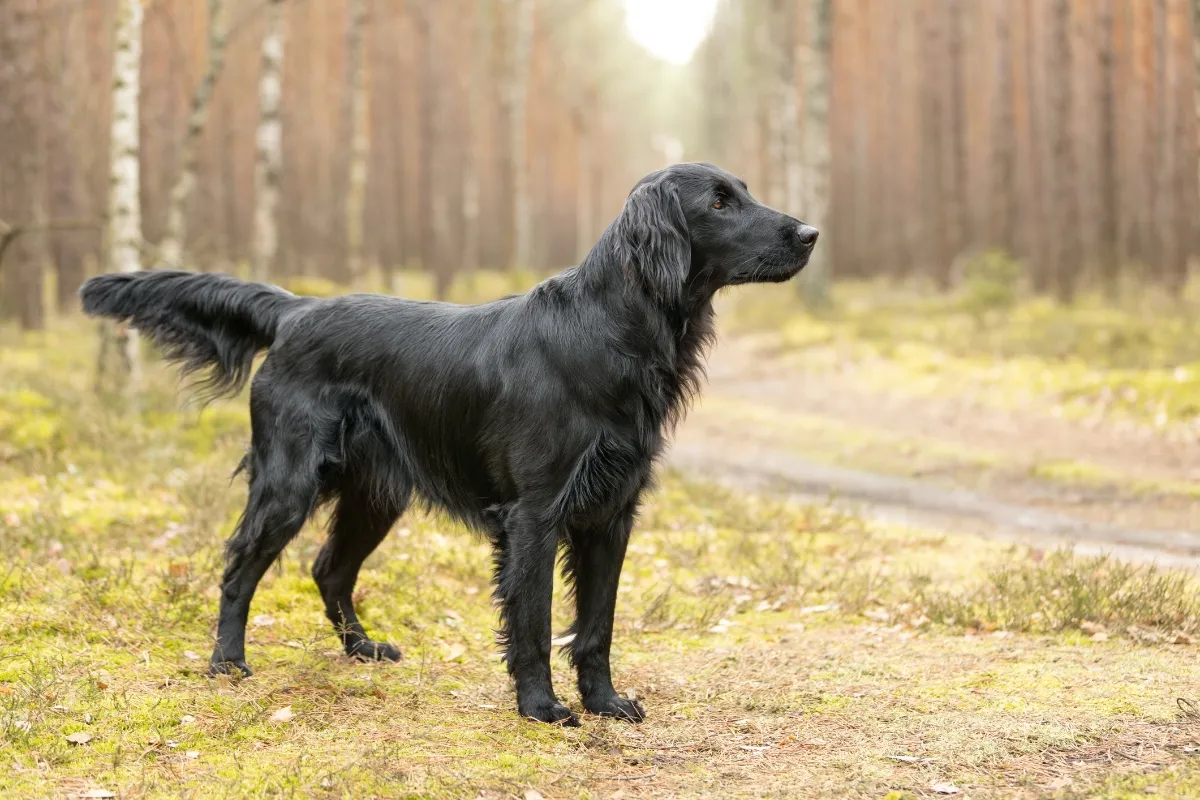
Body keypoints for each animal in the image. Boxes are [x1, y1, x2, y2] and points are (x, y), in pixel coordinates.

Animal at [82, 160, 816, 724]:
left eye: (742, 190)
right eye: (719, 201)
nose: (811, 232)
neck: (610, 329)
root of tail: (298, 309)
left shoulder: (612, 512)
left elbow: (597, 625)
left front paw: (606, 703)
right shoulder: (534, 513)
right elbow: (534, 622)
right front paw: (541, 708)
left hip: (377, 494)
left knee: (329, 568)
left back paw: (361, 649)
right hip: (290, 479)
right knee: (240, 565)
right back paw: (228, 661)